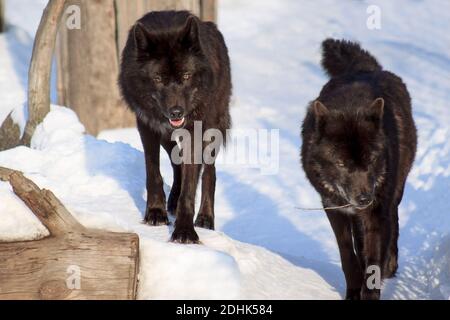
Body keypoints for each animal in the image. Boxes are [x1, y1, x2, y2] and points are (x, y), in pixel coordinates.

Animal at [118, 11, 232, 244]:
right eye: (158, 78)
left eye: (186, 76)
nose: (177, 112)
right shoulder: (148, 126)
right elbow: (153, 173)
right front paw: (155, 212)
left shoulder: (195, 133)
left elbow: (190, 187)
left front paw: (185, 231)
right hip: (166, 135)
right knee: (177, 160)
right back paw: (172, 201)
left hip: (212, 128)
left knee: (209, 173)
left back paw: (205, 218)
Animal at [302, 38, 418, 298]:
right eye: (341, 163)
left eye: (371, 159)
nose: (365, 198)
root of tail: (367, 68)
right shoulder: (333, 207)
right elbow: (348, 256)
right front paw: (353, 293)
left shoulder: (376, 212)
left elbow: (373, 263)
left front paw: (371, 291)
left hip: (394, 191)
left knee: (393, 221)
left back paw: (391, 264)